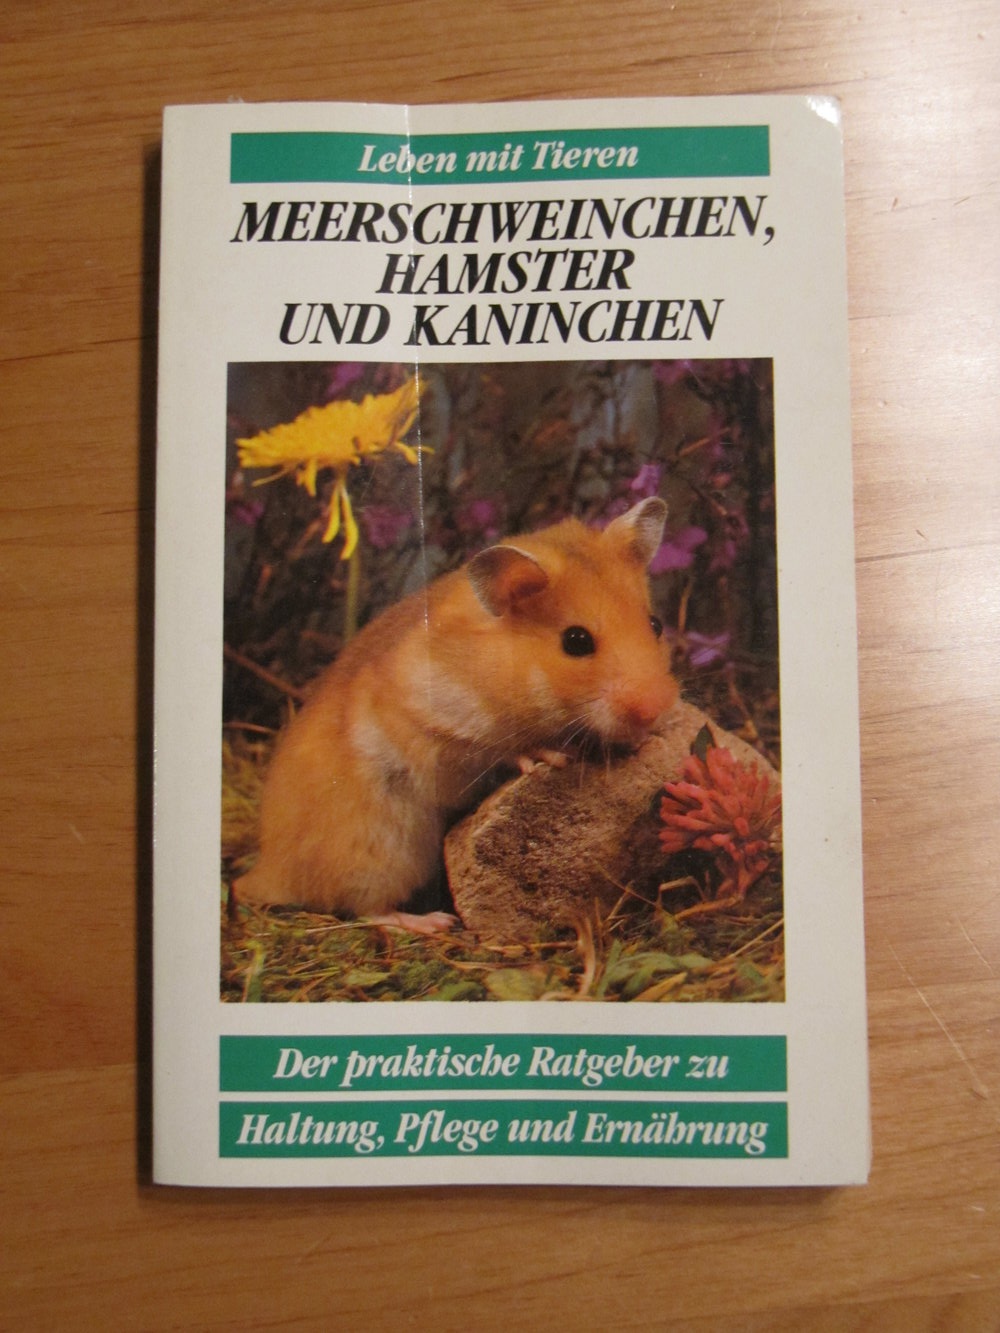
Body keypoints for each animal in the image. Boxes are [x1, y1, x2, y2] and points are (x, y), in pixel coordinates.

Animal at [232, 496, 678, 931]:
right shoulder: (439, 730)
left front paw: (648, 737)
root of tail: (267, 870)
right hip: (382, 854)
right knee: (366, 909)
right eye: (576, 641)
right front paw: (548, 755)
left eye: (655, 624)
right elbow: (495, 749)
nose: (654, 708)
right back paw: (433, 922)